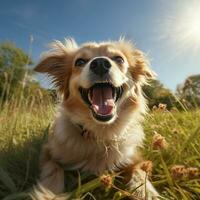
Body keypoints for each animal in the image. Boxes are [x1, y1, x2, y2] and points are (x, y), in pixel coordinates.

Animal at [31, 38, 159, 199]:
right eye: (79, 62)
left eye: (119, 59)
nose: (100, 63)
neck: (100, 131)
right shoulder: (48, 152)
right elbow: (54, 170)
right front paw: (48, 194)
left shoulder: (133, 157)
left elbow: (139, 171)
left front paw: (146, 191)